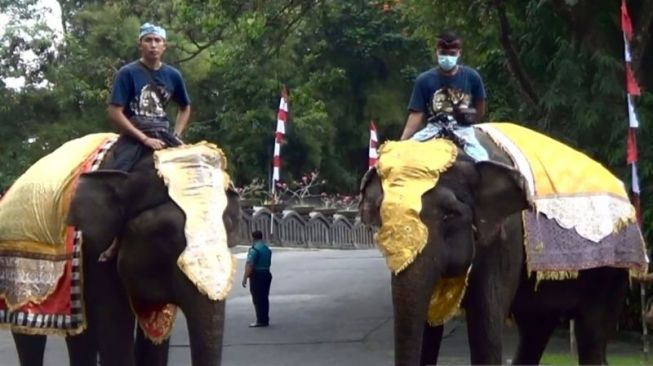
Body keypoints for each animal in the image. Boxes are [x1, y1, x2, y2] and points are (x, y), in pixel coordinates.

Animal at [10, 147, 241, 366]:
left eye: (229, 233)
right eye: (165, 234)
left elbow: (157, 332)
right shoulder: (95, 250)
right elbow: (115, 326)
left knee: (80, 335)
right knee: (27, 335)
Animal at [360, 132, 640, 366]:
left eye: (450, 215)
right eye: (382, 218)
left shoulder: (505, 236)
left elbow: (485, 320)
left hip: (612, 267)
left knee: (591, 330)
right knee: (536, 329)